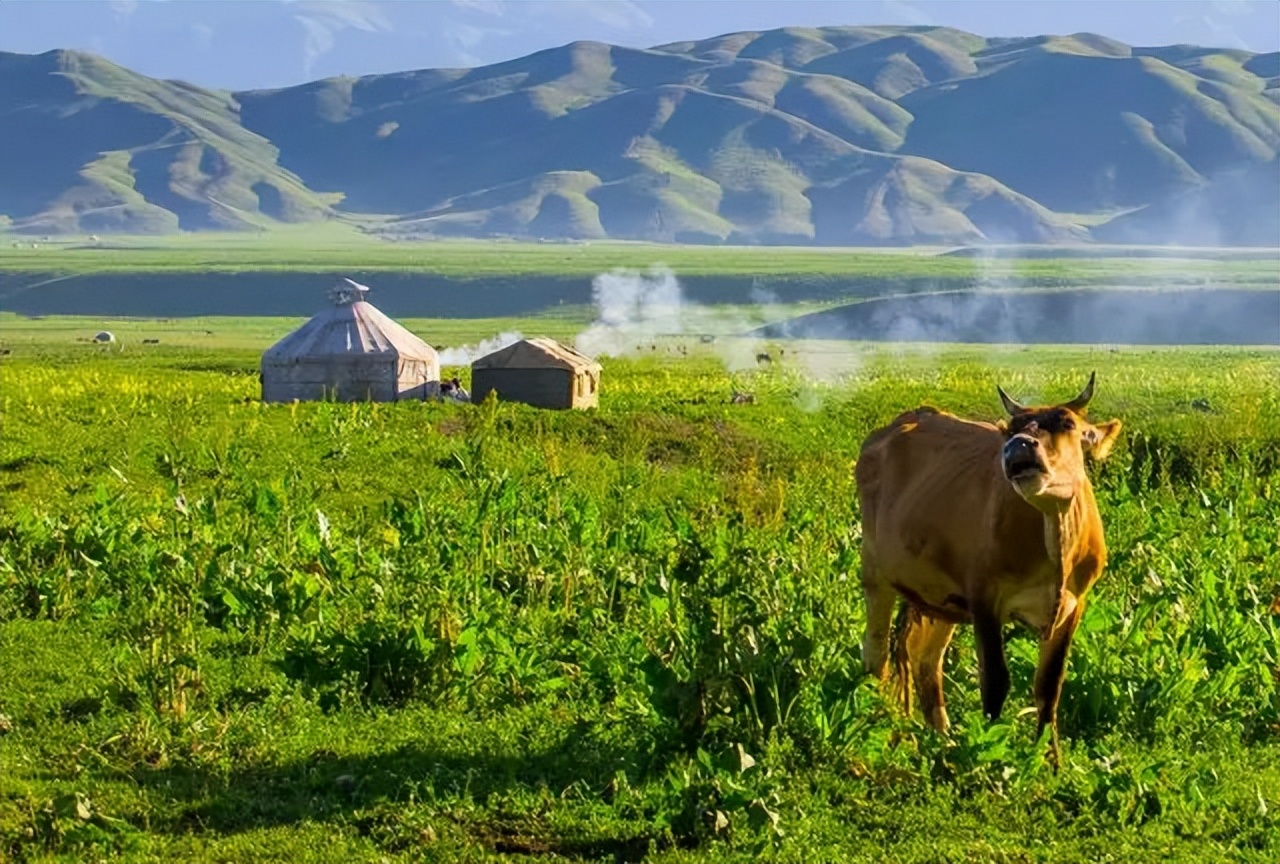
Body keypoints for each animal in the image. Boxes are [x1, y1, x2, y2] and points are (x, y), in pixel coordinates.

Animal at [860, 373, 1121, 762]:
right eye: (1012, 428)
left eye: (1068, 423)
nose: (1019, 445)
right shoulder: (984, 597)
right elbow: (996, 681)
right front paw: (986, 749)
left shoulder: (1075, 605)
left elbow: (1050, 686)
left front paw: (1051, 761)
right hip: (875, 569)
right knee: (877, 653)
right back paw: (885, 728)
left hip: (940, 599)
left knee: (925, 659)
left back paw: (943, 739)